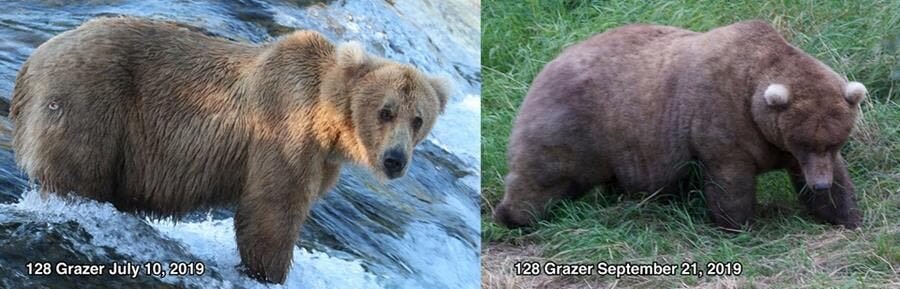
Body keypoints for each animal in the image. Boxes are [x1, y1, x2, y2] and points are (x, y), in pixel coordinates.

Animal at [12, 16, 448, 282]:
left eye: (418, 119)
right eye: (386, 110)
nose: (395, 160)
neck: (329, 122)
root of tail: (32, 62)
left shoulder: (323, 161)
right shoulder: (285, 128)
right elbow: (271, 210)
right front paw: (268, 271)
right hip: (89, 104)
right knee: (77, 177)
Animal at [496, 19, 868, 232]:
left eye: (835, 141)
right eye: (804, 141)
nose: (819, 183)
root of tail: (546, 65)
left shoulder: (781, 142)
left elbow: (835, 181)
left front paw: (846, 214)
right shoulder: (723, 121)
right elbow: (730, 182)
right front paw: (739, 225)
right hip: (574, 125)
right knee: (543, 175)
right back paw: (513, 216)